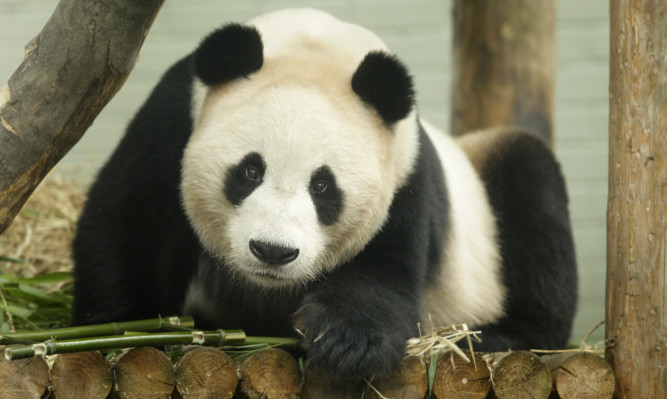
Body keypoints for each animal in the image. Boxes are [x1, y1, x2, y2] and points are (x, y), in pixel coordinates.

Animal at [70, 8, 576, 378]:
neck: (314, 48)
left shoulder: (403, 172)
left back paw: (491, 338)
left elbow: (384, 271)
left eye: (322, 186)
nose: (272, 251)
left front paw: (345, 342)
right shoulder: (173, 120)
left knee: (534, 193)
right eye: (249, 171)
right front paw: (129, 330)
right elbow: (129, 227)